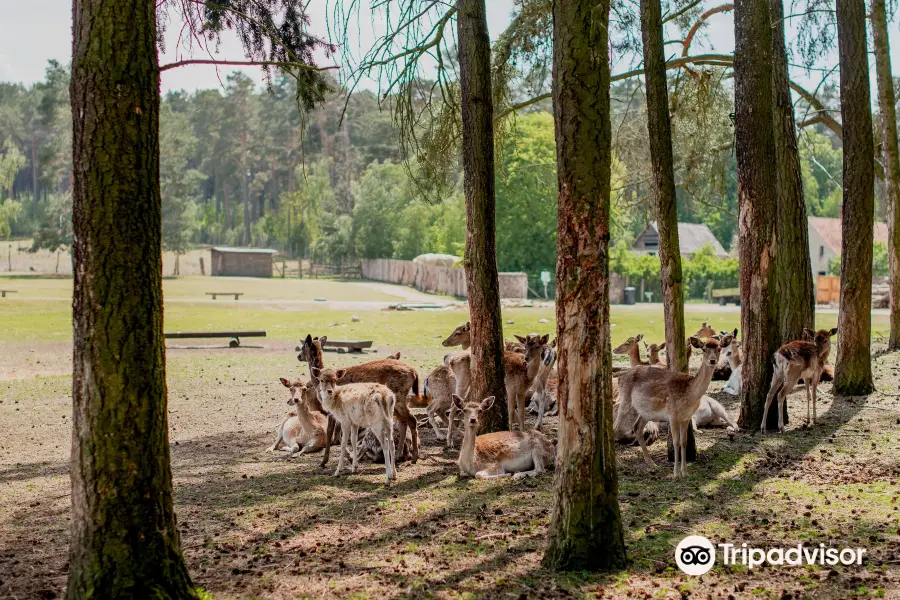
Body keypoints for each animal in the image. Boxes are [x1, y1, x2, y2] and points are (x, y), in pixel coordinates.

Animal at [298, 336, 420, 466]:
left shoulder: (333, 411)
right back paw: (398, 456)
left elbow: (331, 432)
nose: (299, 356)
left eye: (303, 347)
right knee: (403, 421)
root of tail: (414, 372)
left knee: (411, 419)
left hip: (399, 396)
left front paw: (324, 462)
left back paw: (414, 458)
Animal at [616, 332, 736, 478]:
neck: (689, 396)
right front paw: (676, 474)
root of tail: (620, 377)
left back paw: (652, 464)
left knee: (637, 427)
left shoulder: (686, 417)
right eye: (703, 349)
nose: (712, 360)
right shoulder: (672, 415)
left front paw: (685, 472)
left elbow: (683, 442)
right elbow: (676, 442)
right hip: (625, 400)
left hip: (646, 412)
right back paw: (619, 464)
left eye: (719, 348)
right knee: (616, 426)